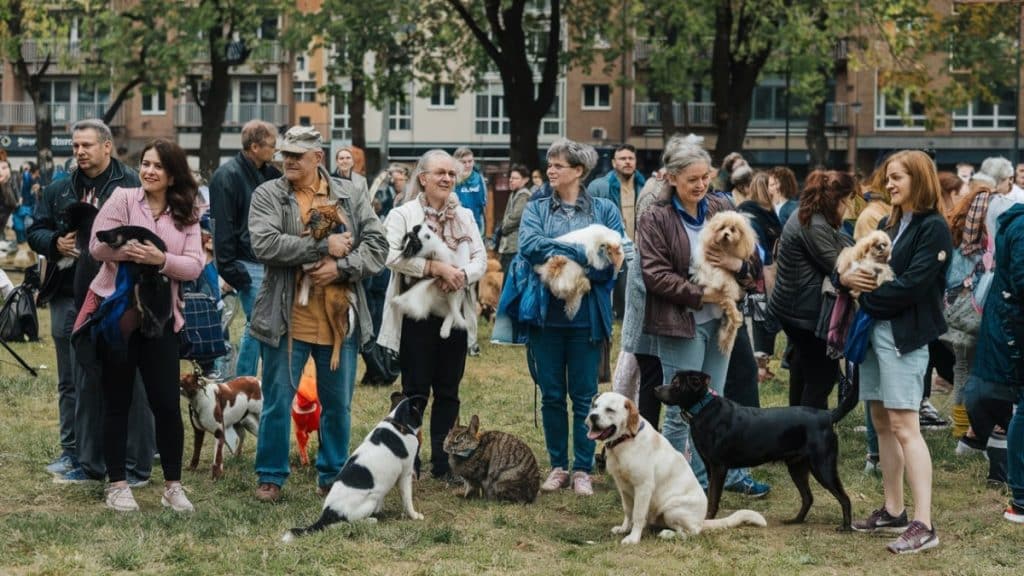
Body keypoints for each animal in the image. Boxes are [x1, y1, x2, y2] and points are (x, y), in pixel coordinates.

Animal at [282, 389, 425, 537]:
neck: (399, 422)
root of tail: (328, 513)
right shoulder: (405, 474)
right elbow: (407, 500)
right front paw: (414, 515)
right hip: (371, 499)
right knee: (348, 522)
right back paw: (371, 520)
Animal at [589, 387, 765, 541]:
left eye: (610, 410)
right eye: (595, 406)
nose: (592, 417)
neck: (625, 441)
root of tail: (702, 521)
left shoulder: (643, 487)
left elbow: (638, 515)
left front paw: (633, 538)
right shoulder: (623, 487)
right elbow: (628, 511)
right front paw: (624, 529)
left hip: (672, 510)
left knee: (691, 533)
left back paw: (668, 534)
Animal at [655, 368, 856, 528]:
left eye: (676, 383)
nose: (656, 389)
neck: (703, 409)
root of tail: (828, 416)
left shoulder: (719, 466)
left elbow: (713, 497)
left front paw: (709, 520)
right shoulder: (709, 466)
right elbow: (710, 494)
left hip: (823, 466)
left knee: (844, 498)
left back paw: (845, 527)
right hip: (797, 466)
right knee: (808, 497)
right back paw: (795, 521)